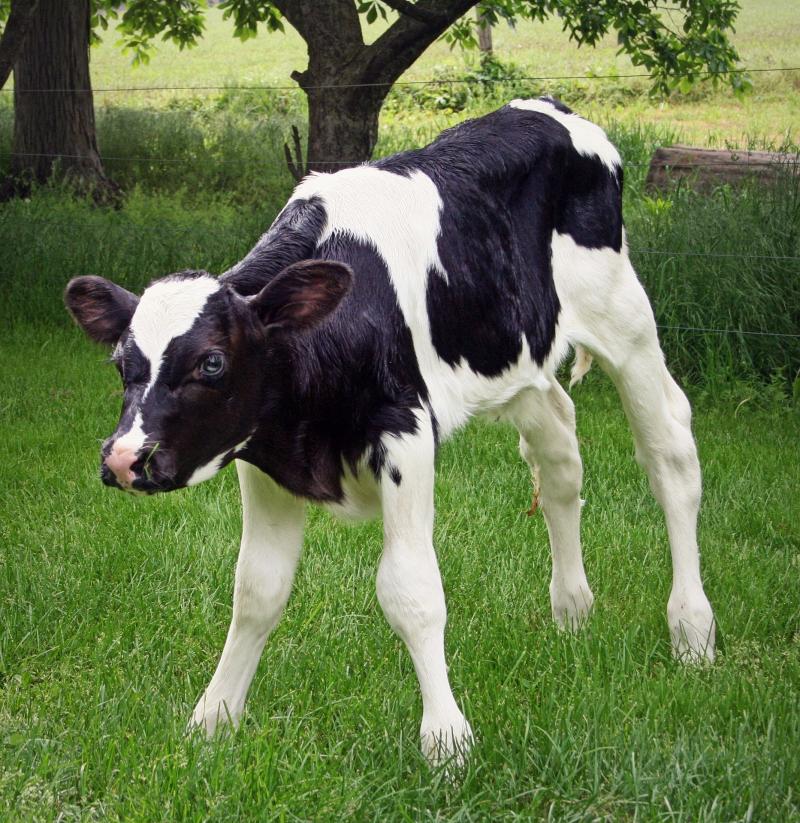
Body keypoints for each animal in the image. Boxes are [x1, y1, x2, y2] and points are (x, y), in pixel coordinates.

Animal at [64, 98, 716, 765]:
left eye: (212, 363)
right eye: (120, 364)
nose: (124, 459)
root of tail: (548, 107)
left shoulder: (405, 433)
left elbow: (411, 591)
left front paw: (447, 740)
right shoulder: (262, 453)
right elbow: (257, 591)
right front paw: (213, 720)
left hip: (625, 317)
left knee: (670, 453)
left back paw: (692, 632)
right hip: (519, 360)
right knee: (559, 452)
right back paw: (573, 613)